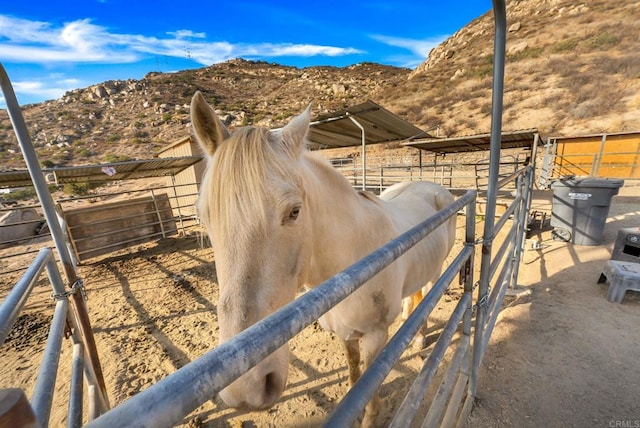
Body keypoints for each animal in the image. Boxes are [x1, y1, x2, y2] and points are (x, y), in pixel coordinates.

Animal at [192, 91, 458, 424]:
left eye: (294, 212)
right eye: (204, 216)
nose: (246, 388)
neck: (353, 263)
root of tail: (431, 186)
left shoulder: (375, 336)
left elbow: (370, 389)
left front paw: (369, 417)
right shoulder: (346, 334)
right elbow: (354, 372)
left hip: (438, 269)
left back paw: (421, 338)